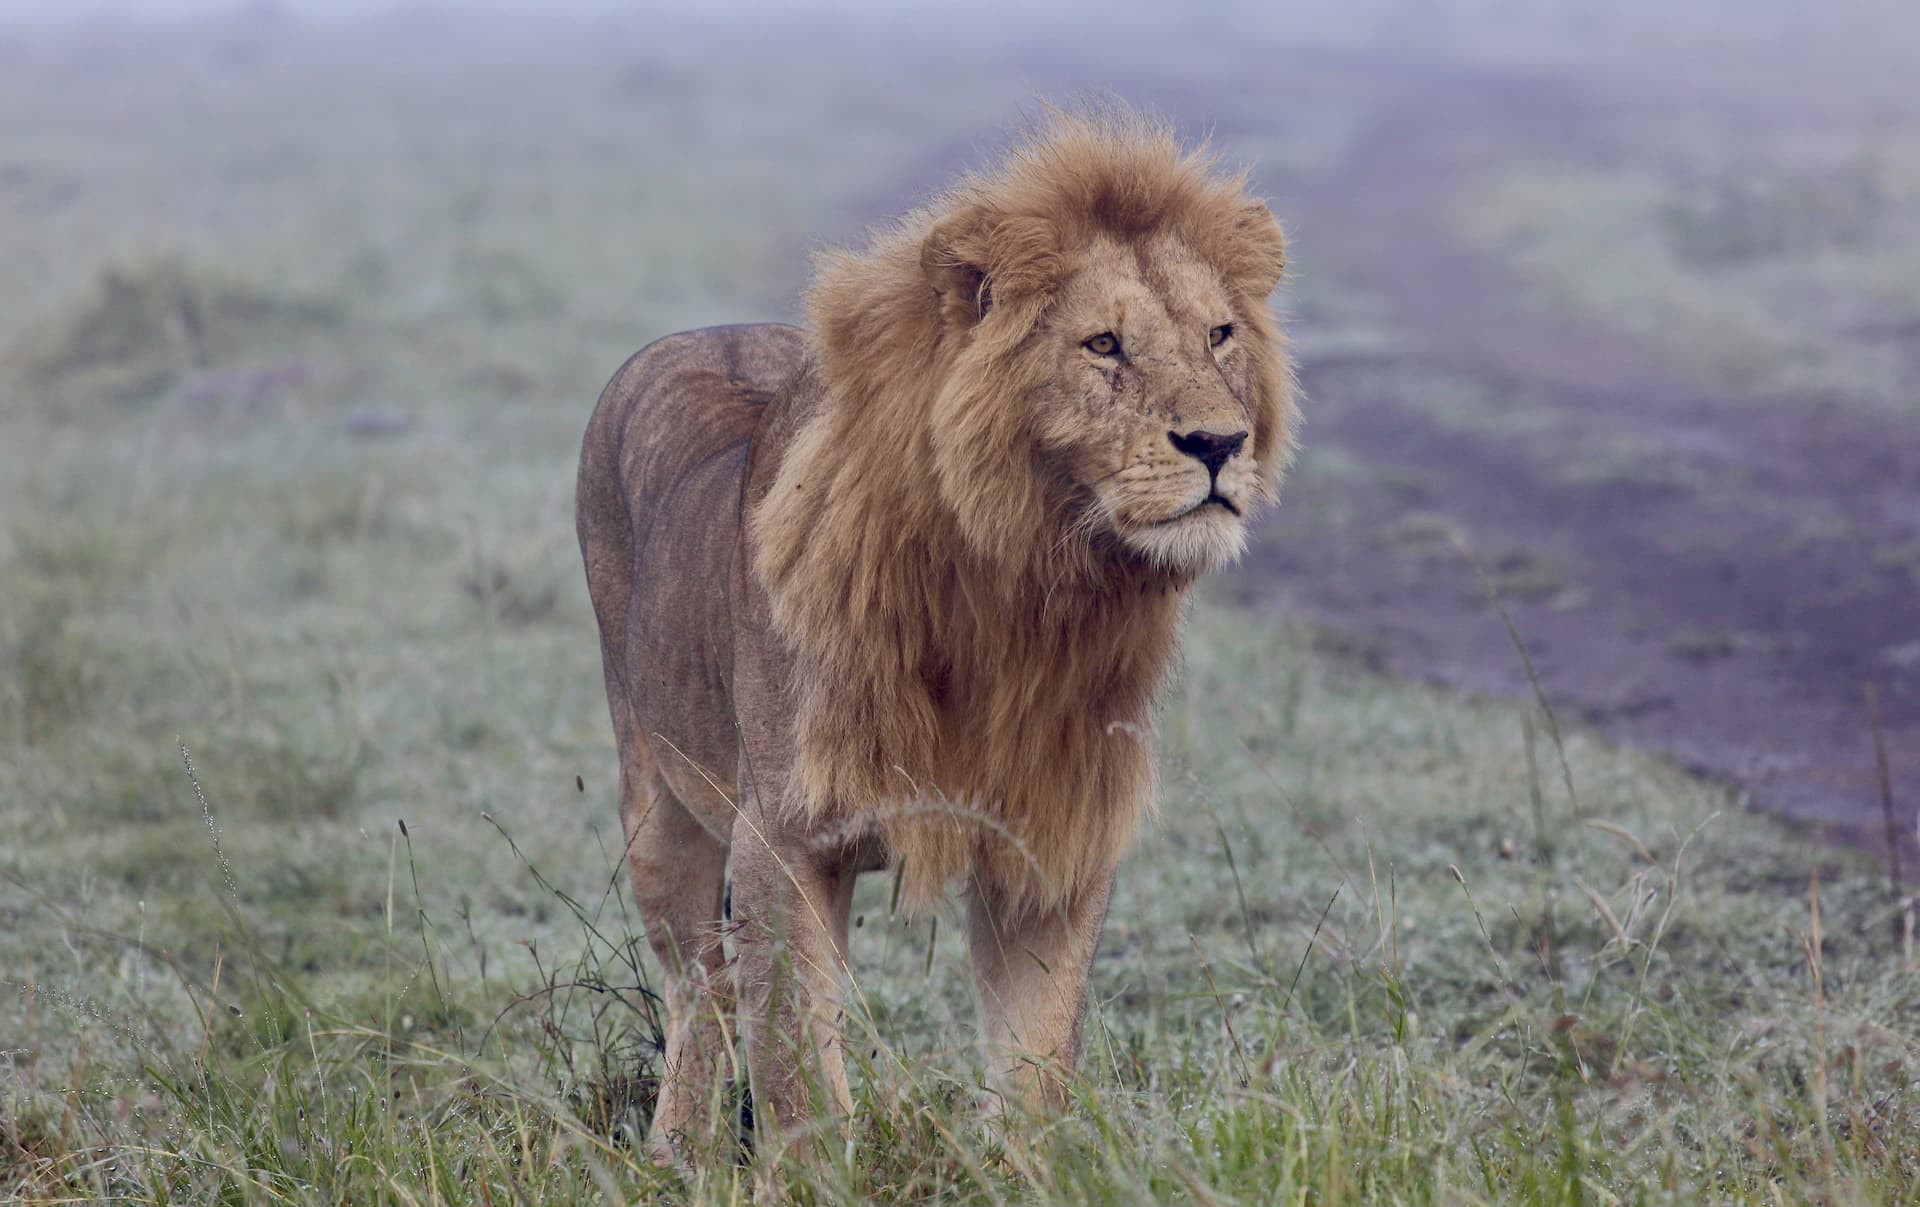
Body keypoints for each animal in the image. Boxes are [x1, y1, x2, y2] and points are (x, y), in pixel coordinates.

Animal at [576, 108, 1295, 1162]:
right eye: (1103, 344)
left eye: (1219, 334)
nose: (1218, 444)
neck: (1025, 592)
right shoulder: (783, 838)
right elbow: (798, 1073)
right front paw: (811, 1171)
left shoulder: (1050, 837)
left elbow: (1037, 1060)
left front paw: (1029, 1168)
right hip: (657, 801)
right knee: (696, 986)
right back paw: (678, 1150)